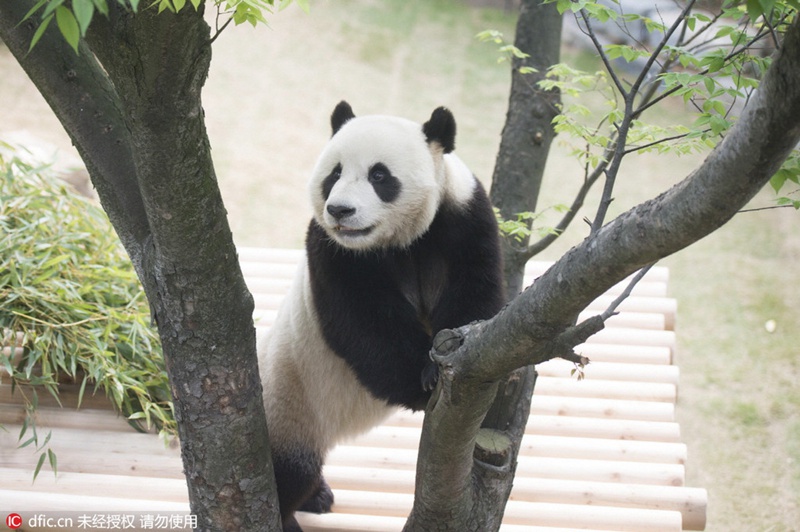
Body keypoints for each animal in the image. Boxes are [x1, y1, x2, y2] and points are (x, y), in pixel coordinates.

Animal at [260, 101, 504, 532]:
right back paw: (296, 510)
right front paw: (423, 382)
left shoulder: (464, 218)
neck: (401, 240)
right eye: (334, 173)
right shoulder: (333, 251)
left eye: (379, 175)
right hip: (289, 403)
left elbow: (475, 295)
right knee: (289, 471)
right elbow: (364, 323)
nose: (340, 210)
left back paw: (318, 496)